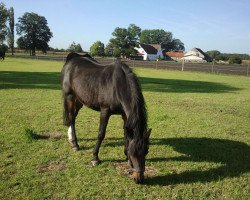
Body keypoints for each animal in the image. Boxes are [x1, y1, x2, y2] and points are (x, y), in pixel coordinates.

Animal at [61, 52, 150, 184]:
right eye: (133, 153)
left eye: (146, 151)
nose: (138, 179)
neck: (118, 85)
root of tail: (72, 59)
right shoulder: (105, 111)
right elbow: (101, 134)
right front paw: (95, 158)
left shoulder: (125, 115)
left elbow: (126, 135)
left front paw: (126, 157)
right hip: (69, 97)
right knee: (71, 118)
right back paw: (75, 144)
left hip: (79, 100)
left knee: (74, 117)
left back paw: (71, 140)